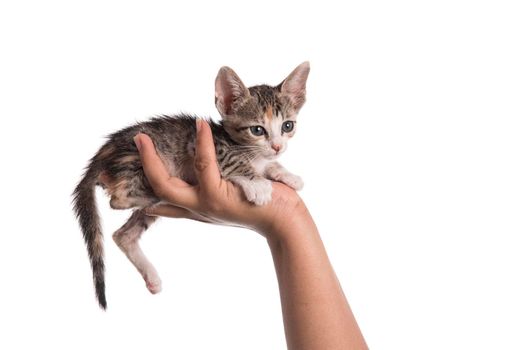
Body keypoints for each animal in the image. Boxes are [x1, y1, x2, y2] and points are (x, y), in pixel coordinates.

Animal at [73, 62, 312, 308]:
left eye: (287, 126)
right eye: (257, 130)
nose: (277, 146)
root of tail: (100, 156)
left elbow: (270, 165)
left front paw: (287, 174)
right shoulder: (204, 145)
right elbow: (237, 162)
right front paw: (258, 184)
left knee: (123, 235)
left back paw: (150, 275)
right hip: (135, 158)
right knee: (117, 200)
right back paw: (157, 195)